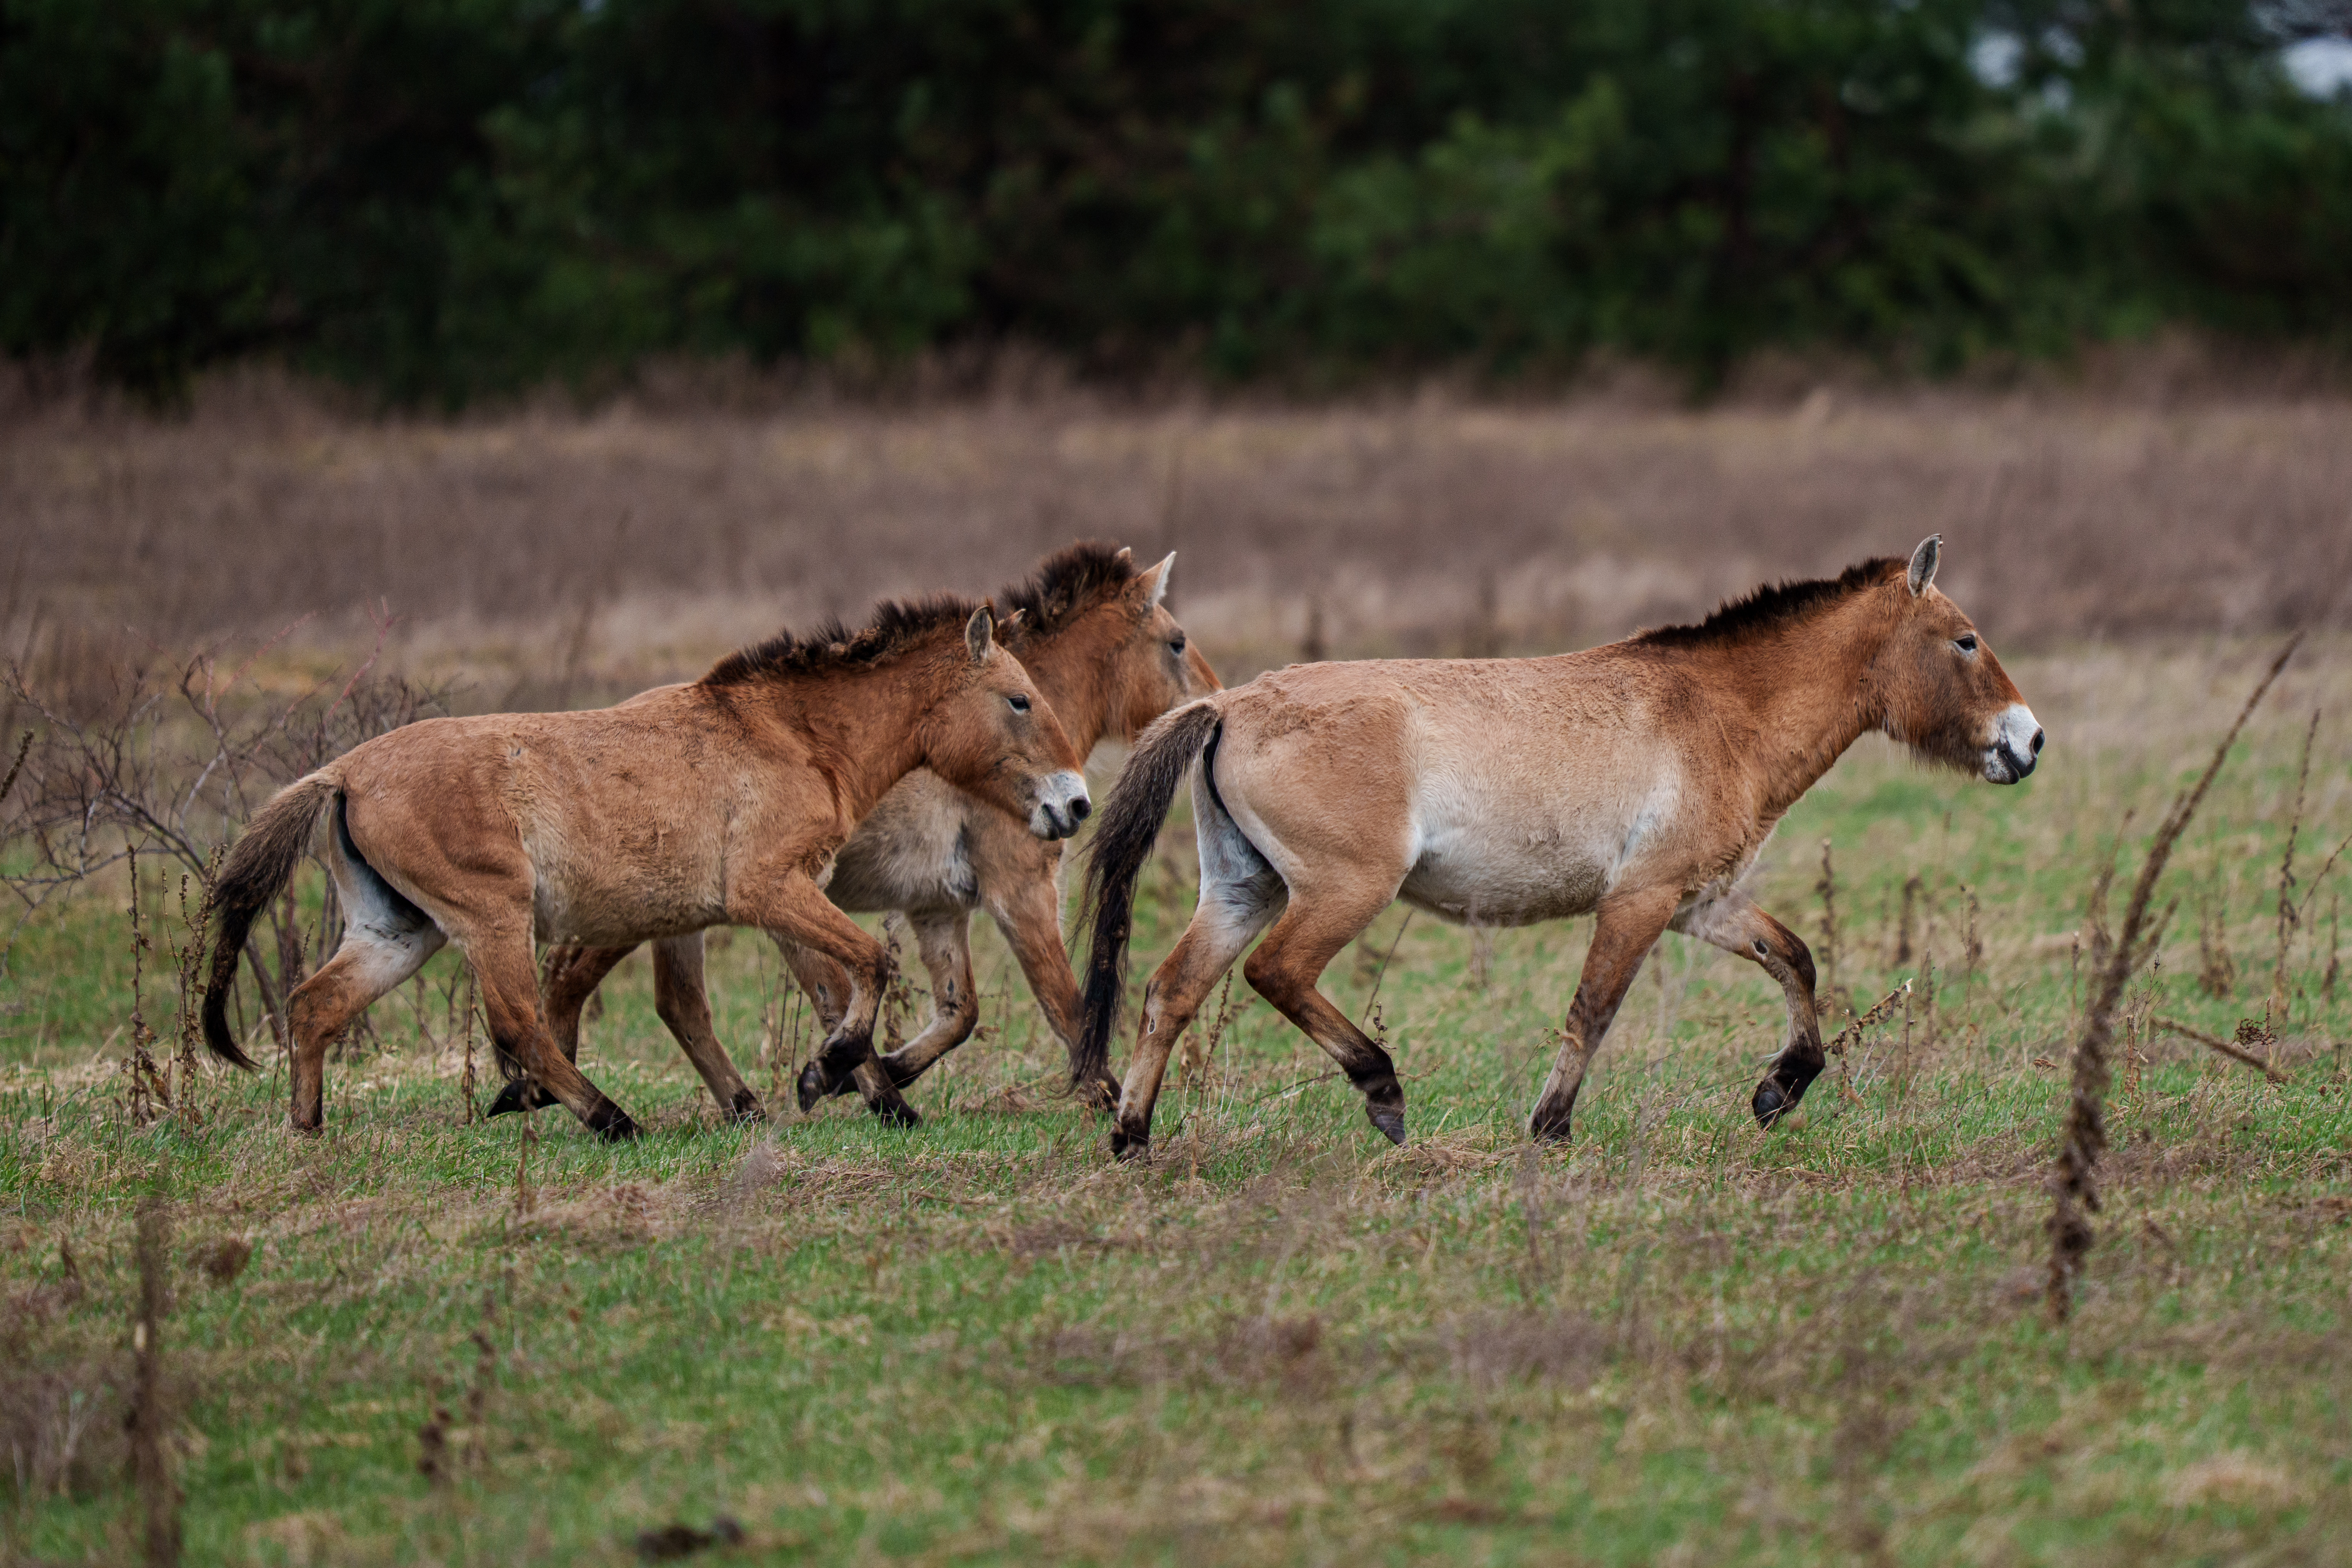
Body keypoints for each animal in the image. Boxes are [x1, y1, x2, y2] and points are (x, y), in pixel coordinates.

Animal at [201, 600, 1090, 1140]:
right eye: (1018, 700)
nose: (1074, 803)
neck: (794, 736)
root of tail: (343, 771)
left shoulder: (765, 901)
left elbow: (837, 982)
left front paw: (839, 1082)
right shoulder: (768, 889)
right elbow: (869, 966)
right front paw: (827, 1071)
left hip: (401, 930)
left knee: (315, 1005)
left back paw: (308, 1129)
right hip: (491, 919)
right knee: (519, 1025)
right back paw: (609, 1118)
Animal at [522, 541, 1222, 1121]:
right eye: (1177, 641)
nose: (1218, 702)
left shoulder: (937, 907)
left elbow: (958, 1011)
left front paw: (878, 1069)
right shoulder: (1019, 893)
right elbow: (1066, 1006)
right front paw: (1107, 1097)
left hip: (681, 912)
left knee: (674, 1001)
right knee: (572, 976)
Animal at [1073, 536, 2042, 1159]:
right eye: (1965, 641)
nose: (2028, 742)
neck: (1718, 710)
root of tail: (1230, 705)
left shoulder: (1697, 902)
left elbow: (1795, 960)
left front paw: (1780, 1089)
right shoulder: (1639, 902)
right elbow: (1593, 1012)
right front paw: (1550, 1129)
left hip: (1244, 890)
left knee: (1170, 992)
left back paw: (1132, 1137)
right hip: (1339, 893)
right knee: (1276, 974)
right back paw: (1382, 1094)